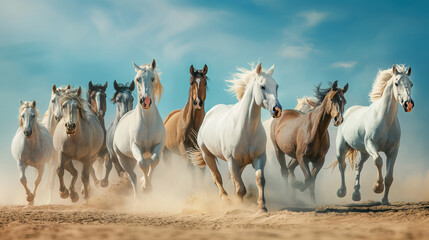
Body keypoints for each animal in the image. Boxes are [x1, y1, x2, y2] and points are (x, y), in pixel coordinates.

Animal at [112, 59, 166, 197]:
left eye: (152, 78)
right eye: (137, 79)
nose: (145, 101)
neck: (147, 122)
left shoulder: (158, 146)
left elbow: (153, 162)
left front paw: (146, 186)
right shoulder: (136, 147)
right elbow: (142, 165)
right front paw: (145, 187)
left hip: (133, 158)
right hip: (123, 158)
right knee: (132, 176)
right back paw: (137, 197)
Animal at [189, 62, 282, 212]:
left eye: (276, 86)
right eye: (262, 86)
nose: (277, 110)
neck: (246, 129)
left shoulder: (259, 158)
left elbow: (260, 180)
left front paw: (261, 206)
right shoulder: (231, 160)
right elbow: (240, 189)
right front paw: (239, 206)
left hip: (241, 163)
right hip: (207, 155)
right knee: (217, 178)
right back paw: (225, 198)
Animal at [334, 64, 412, 204]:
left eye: (411, 84)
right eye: (396, 83)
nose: (409, 104)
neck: (386, 119)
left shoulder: (393, 151)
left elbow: (389, 177)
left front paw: (385, 200)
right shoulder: (371, 144)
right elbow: (378, 161)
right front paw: (377, 187)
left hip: (364, 152)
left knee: (358, 166)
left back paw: (356, 194)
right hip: (342, 147)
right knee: (342, 165)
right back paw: (342, 191)